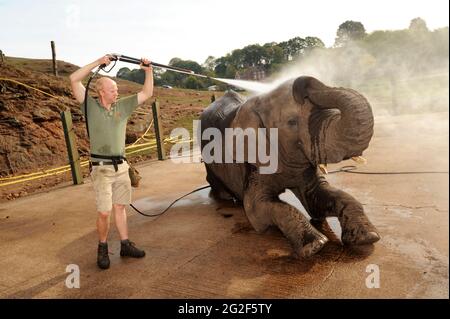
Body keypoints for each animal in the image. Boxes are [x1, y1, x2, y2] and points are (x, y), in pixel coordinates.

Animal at [200, 76, 380, 258]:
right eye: (291, 122)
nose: (302, 81)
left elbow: (319, 198)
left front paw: (368, 237)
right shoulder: (254, 165)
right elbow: (256, 208)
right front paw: (315, 246)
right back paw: (227, 198)